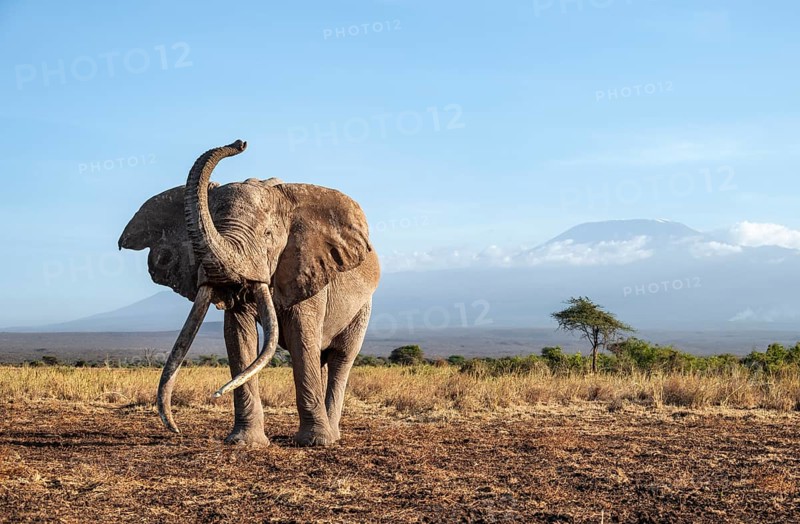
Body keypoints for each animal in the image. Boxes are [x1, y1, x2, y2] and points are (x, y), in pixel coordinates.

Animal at [118, 140, 380, 447]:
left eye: (268, 235)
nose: (239, 143)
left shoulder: (309, 268)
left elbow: (302, 336)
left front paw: (315, 443)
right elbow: (238, 334)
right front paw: (245, 443)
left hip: (363, 307)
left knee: (341, 357)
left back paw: (332, 435)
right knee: (323, 357)